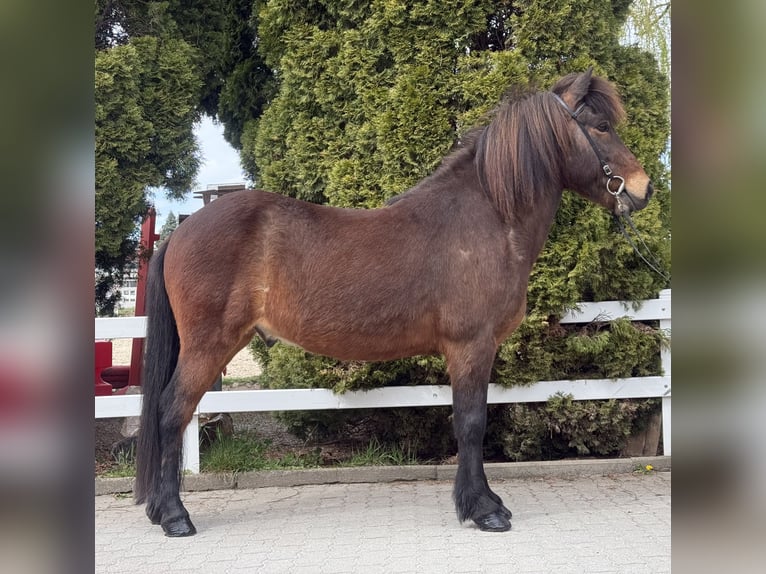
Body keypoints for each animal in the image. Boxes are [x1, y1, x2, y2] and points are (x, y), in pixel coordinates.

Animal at [135, 69, 654, 537]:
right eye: (600, 126)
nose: (643, 188)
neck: (485, 217)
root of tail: (181, 231)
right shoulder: (471, 346)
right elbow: (471, 423)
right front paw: (484, 510)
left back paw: (161, 511)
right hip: (209, 345)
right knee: (172, 412)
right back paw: (175, 517)